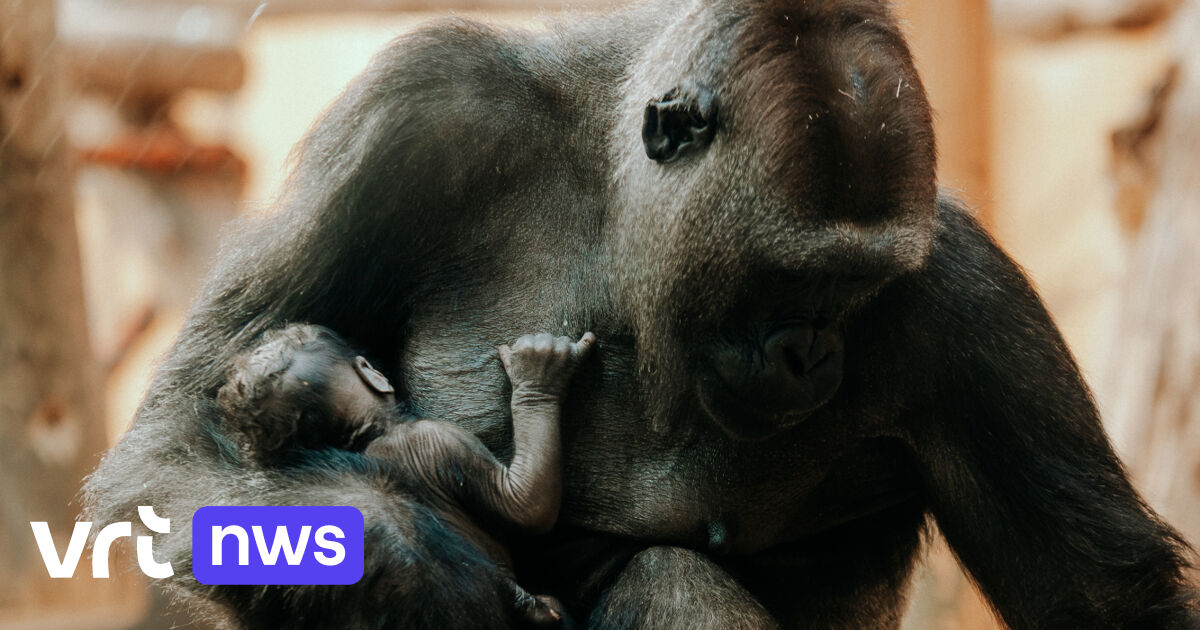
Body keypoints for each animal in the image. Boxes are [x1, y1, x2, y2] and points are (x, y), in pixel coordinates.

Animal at [85, 0, 1200, 628]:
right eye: (793, 279)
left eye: (858, 287)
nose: (810, 354)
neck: (623, 204)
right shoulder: (417, 111)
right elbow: (172, 445)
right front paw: (416, 569)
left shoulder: (965, 294)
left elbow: (1099, 600)